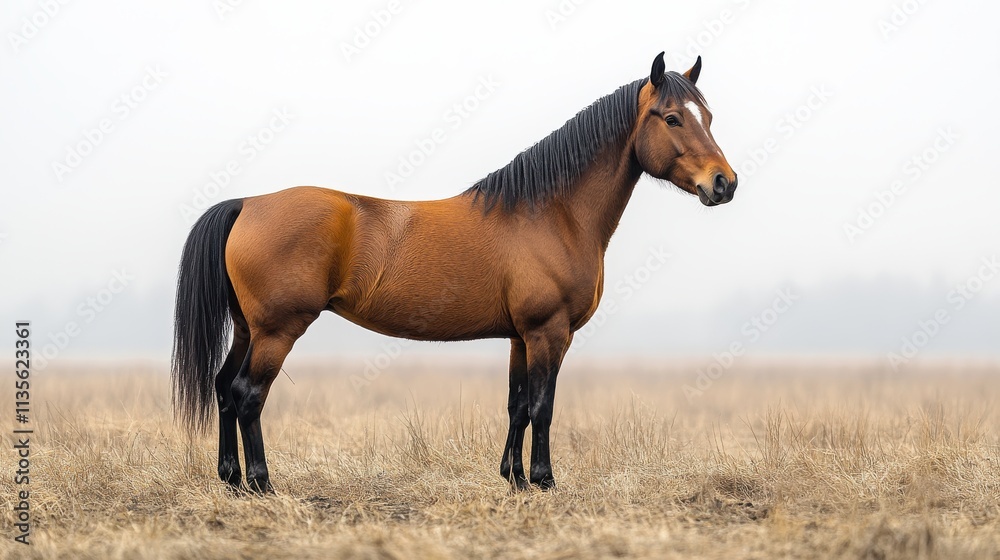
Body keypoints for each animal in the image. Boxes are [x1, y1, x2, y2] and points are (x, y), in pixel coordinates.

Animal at [172, 52, 738, 493]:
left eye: (707, 115)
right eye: (672, 118)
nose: (724, 183)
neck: (551, 213)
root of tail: (247, 203)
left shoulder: (520, 337)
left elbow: (517, 406)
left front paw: (513, 479)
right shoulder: (549, 332)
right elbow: (544, 405)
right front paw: (544, 481)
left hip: (248, 329)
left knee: (224, 389)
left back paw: (231, 481)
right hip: (277, 330)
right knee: (248, 395)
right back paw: (262, 484)